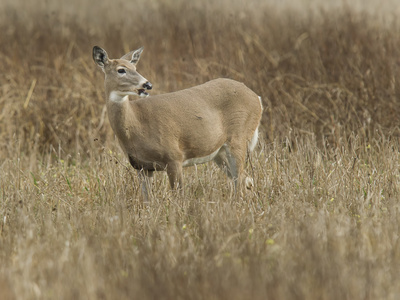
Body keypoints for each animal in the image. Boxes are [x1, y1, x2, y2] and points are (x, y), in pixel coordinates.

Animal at [93, 46, 262, 202]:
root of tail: (257, 98)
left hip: (239, 137)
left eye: (135, 68)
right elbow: (147, 200)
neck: (137, 124)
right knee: (246, 180)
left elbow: (179, 197)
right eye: (121, 70)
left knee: (241, 182)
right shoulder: (141, 167)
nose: (147, 84)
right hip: (219, 152)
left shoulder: (174, 156)